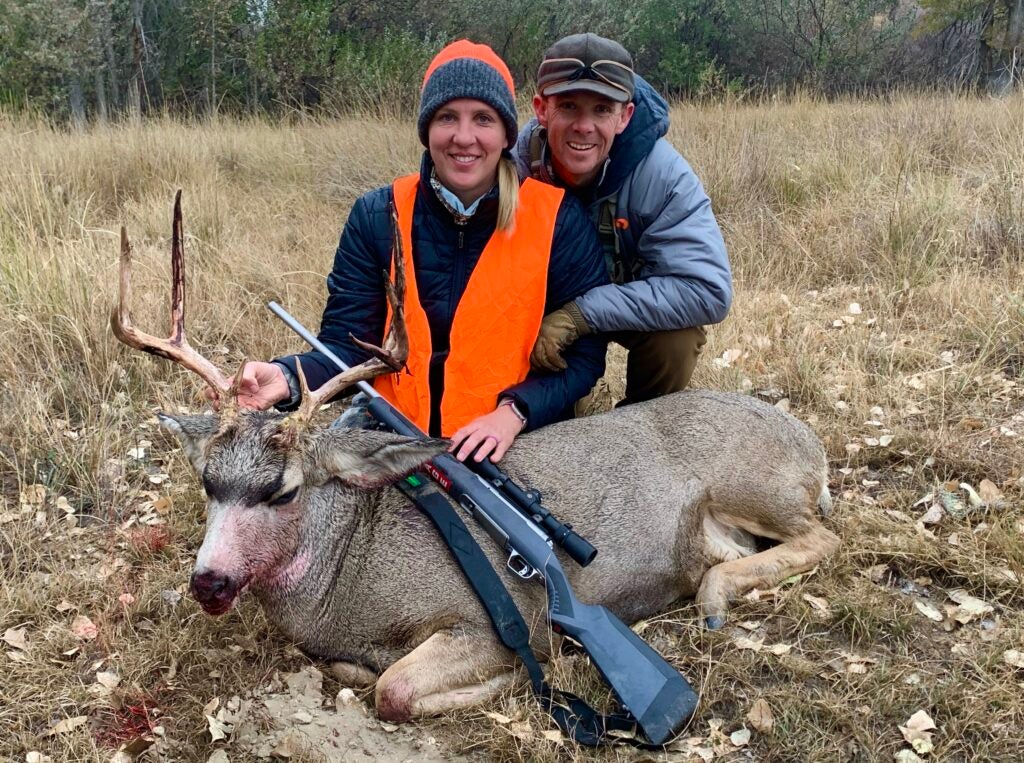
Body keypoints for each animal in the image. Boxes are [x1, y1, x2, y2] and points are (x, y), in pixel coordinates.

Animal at [111, 194, 840, 724]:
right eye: (208, 482)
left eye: (284, 490)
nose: (209, 581)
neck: (349, 574)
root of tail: (812, 444)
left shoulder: (487, 621)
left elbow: (395, 689)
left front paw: (525, 676)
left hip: (753, 480)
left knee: (822, 536)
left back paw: (711, 596)